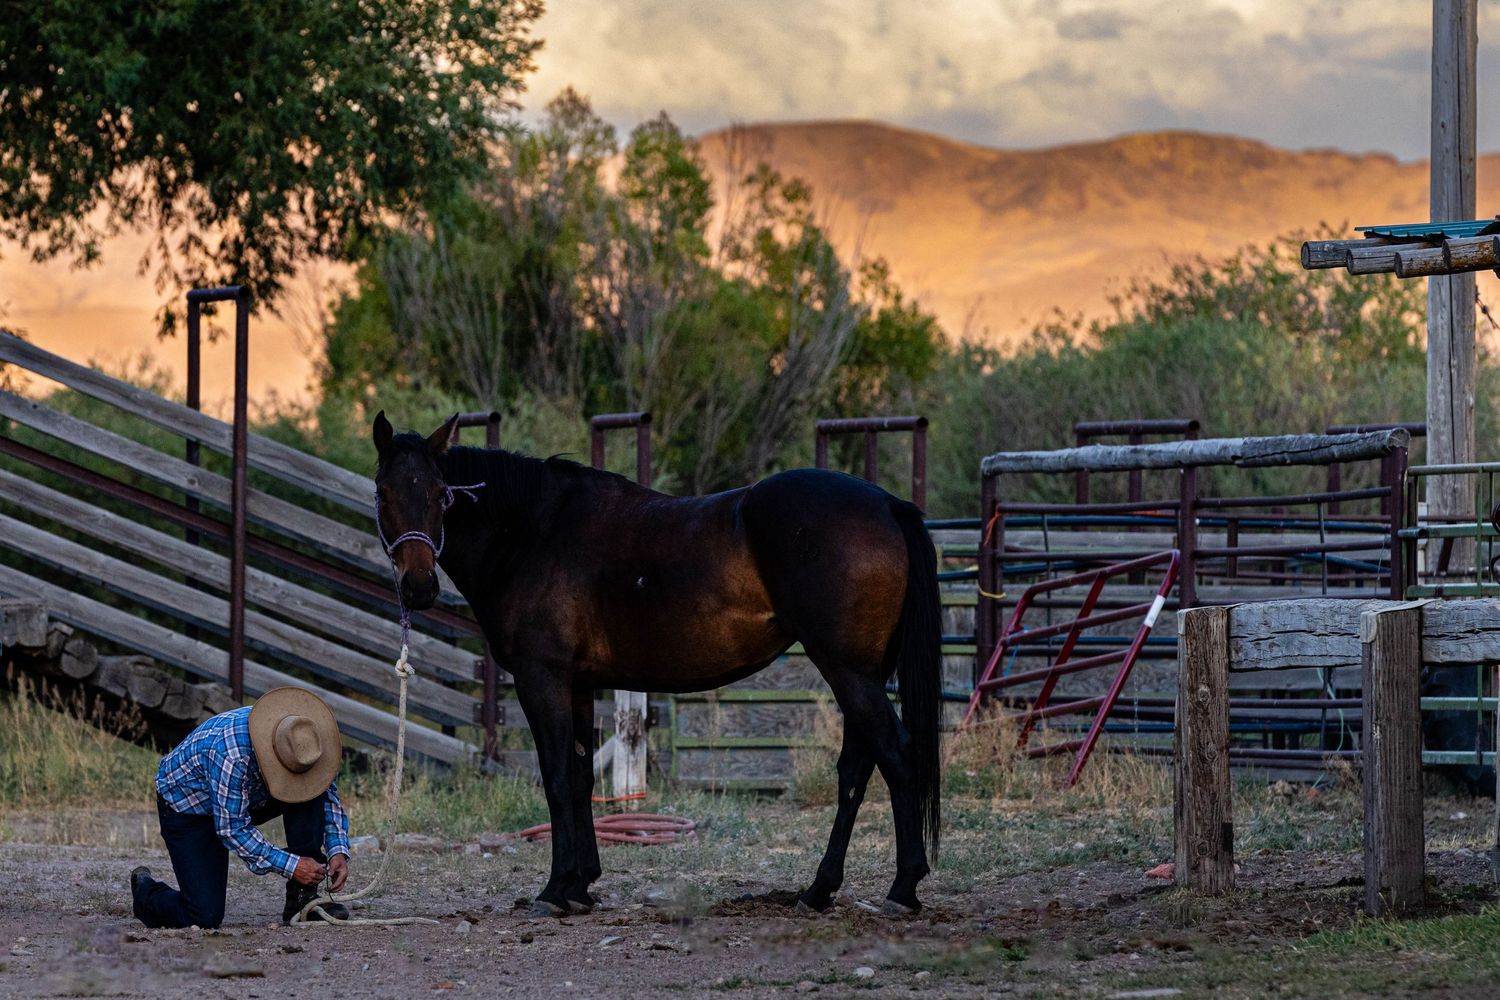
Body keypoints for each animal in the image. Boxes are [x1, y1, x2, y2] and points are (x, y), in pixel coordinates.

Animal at [372, 412, 942, 917]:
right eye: (384, 493)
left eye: (440, 493)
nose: (418, 587)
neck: (532, 532)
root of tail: (887, 503)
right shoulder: (579, 685)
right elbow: (580, 777)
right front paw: (581, 885)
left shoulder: (543, 679)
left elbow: (555, 776)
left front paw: (555, 890)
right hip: (860, 674)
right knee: (856, 768)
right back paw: (819, 890)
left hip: (847, 670)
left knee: (895, 753)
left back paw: (903, 888)